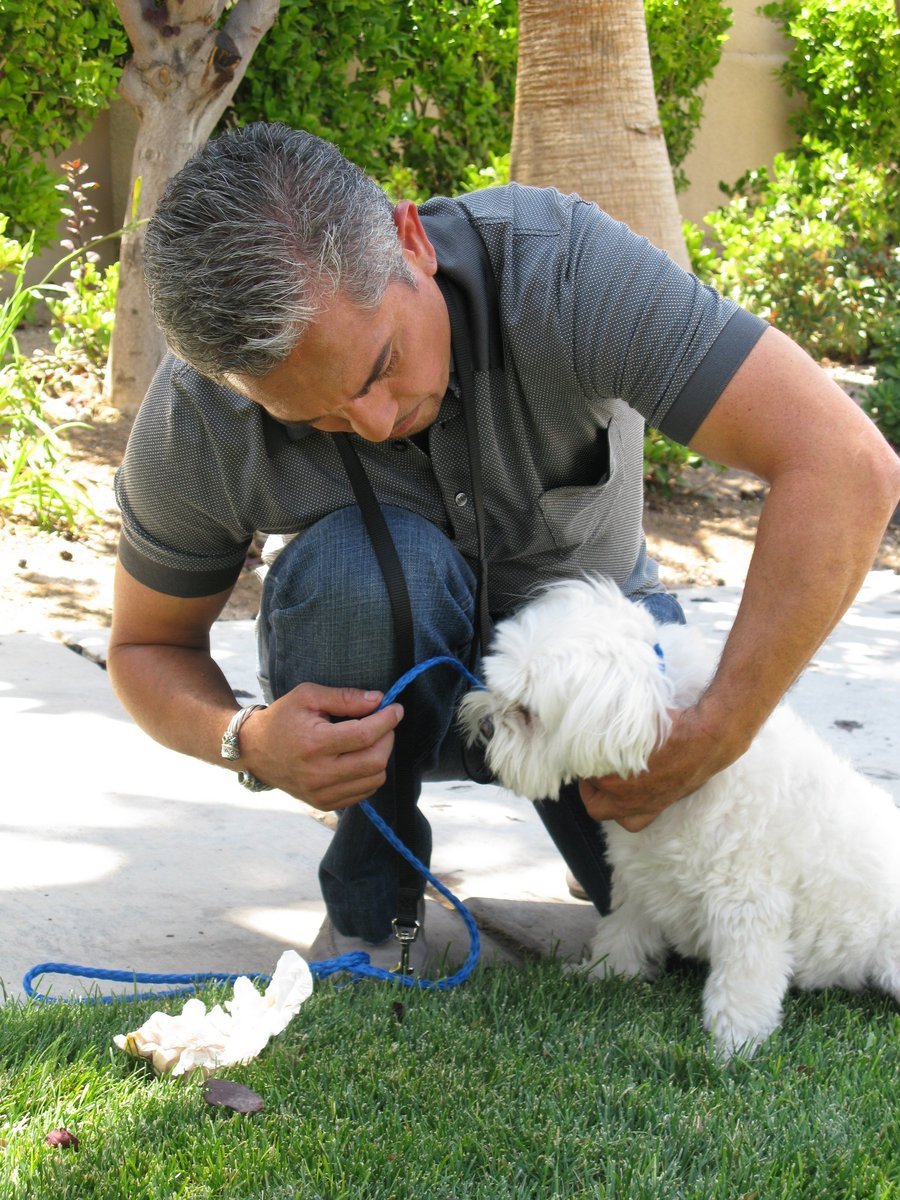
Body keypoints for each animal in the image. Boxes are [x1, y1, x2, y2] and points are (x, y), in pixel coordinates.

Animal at [460, 576, 897, 1056]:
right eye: (496, 686)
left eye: (528, 713)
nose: (485, 726)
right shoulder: (641, 876)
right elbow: (622, 929)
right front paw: (606, 973)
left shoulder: (749, 904)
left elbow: (743, 979)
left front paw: (734, 1044)